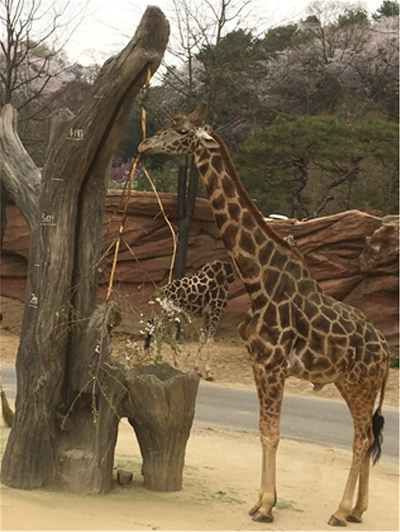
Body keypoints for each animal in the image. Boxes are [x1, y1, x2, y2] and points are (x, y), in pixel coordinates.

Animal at [138, 105, 390, 528]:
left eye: (182, 130)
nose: (143, 144)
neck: (258, 280)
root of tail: (387, 351)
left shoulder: (273, 366)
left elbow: (272, 433)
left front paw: (267, 507)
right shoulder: (259, 364)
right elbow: (262, 430)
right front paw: (259, 501)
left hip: (360, 384)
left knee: (363, 439)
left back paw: (340, 511)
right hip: (350, 383)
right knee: (366, 436)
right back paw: (356, 510)